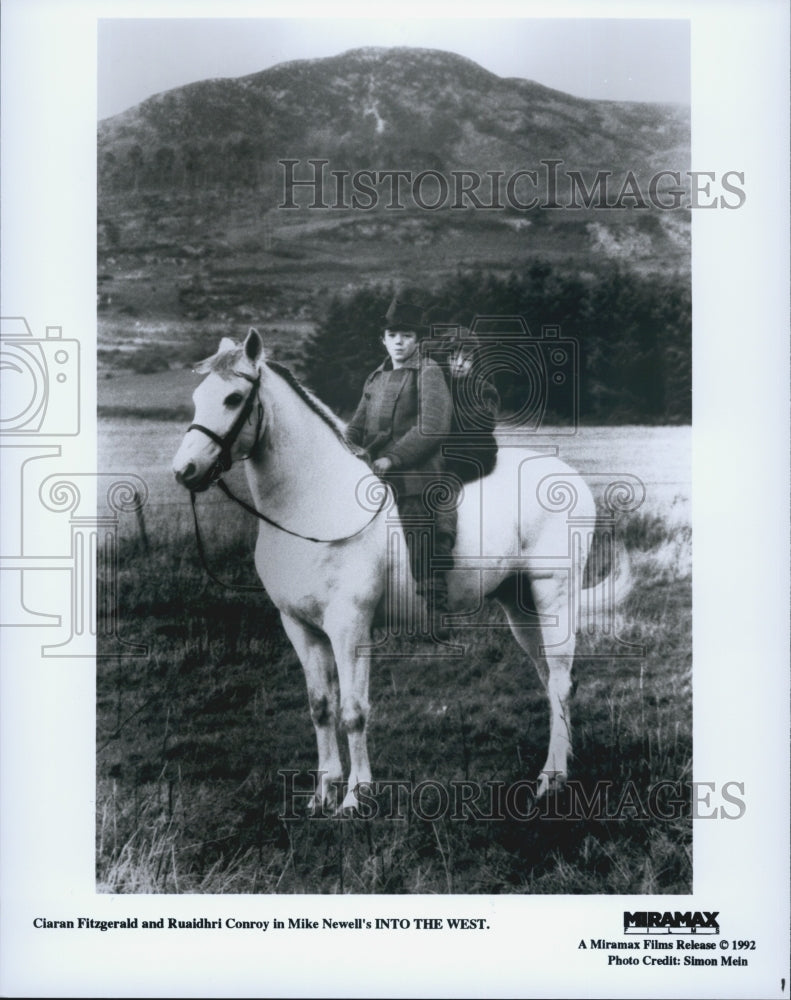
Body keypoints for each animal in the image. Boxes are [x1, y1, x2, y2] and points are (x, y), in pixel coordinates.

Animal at [173, 328, 632, 812]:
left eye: (233, 398)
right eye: (198, 396)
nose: (184, 471)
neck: (313, 503)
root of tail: (570, 476)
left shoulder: (349, 627)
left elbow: (353, 711)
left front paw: (356, 797)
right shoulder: (300, 627)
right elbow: (321, 707)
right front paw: (322, 794)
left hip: (553, 595)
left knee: (560, 681)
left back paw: (550, 779)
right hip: (519, 604)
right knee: (550, 678)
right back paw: (561, 766)